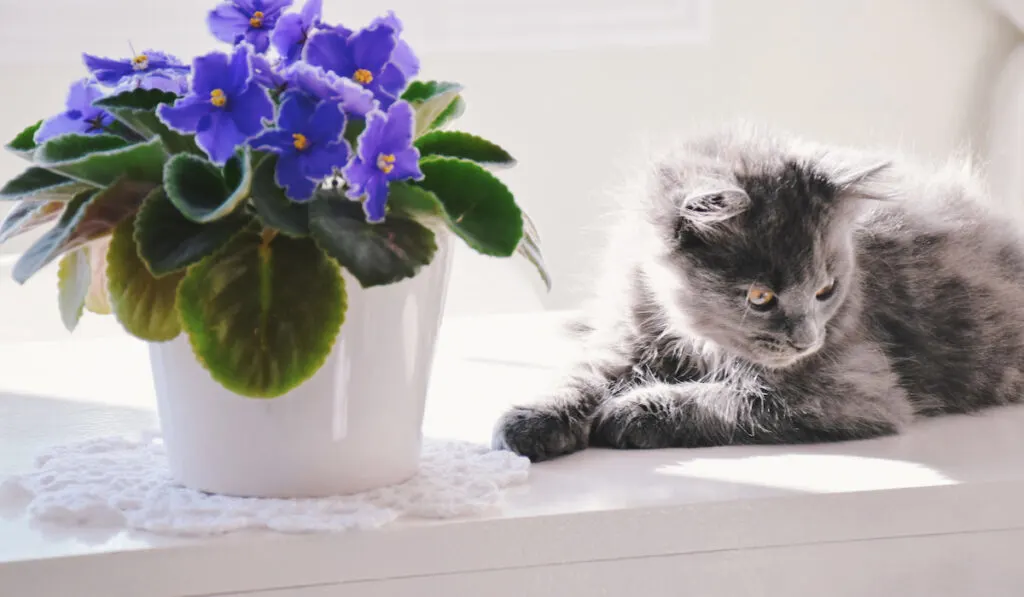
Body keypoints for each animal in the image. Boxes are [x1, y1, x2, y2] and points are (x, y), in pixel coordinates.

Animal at [491, 124, 1024, 462]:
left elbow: (726, 399)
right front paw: (532, 419)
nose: (807, 340)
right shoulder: (625, 337)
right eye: (761, 297)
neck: (696, 340)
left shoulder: (854, 390)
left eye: (826, 290)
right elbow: (581, 378)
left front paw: (629, 411)